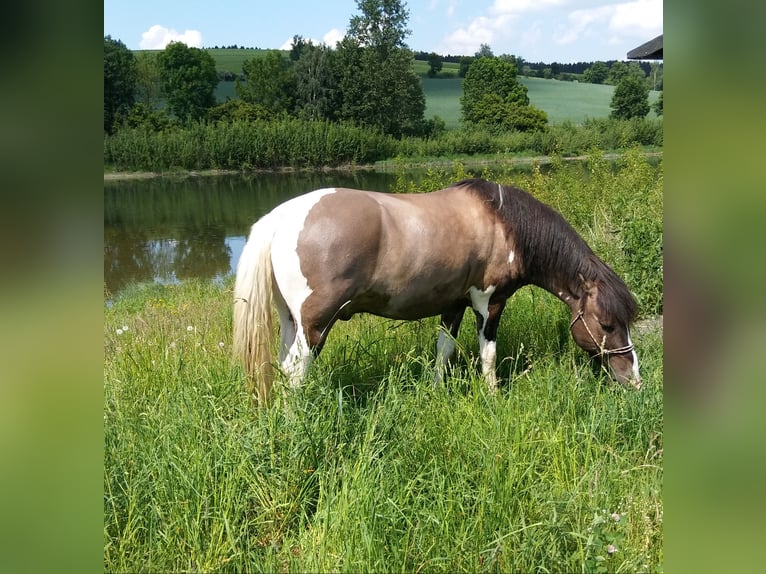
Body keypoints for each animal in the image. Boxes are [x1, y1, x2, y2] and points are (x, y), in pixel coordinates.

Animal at [233, 178, 640, 403]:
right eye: (606, 324)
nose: (633, 380)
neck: (505, 224)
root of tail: (280, 219)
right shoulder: (488, 303)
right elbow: (488, 355)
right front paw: (493, 397)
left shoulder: (454, 304)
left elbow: (444, 351)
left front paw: (435, 392)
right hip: (316, 326)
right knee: (295, 372)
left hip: (291, 322)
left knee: (283, 367)